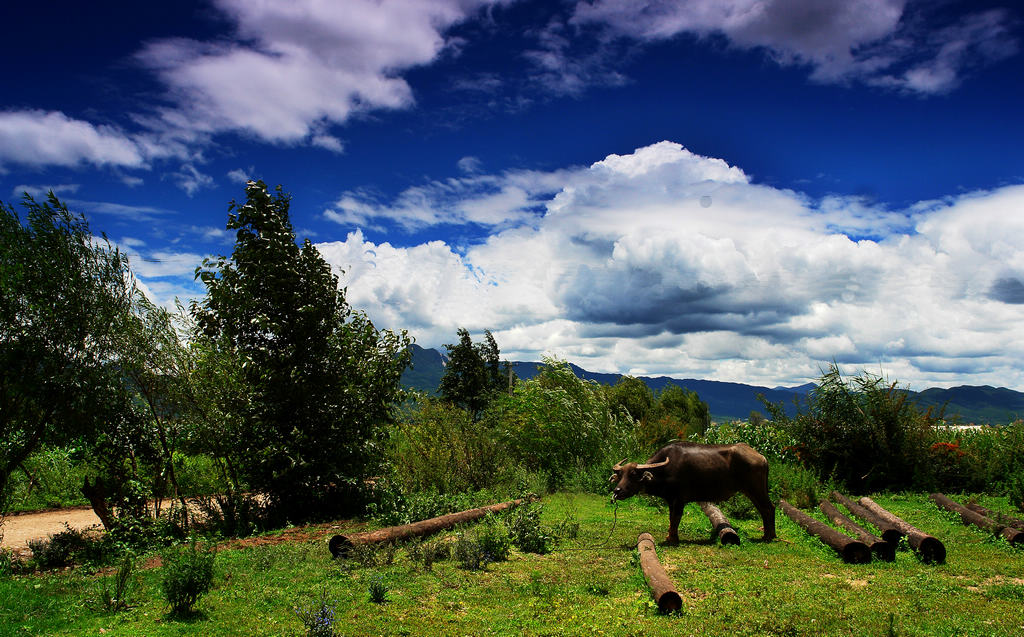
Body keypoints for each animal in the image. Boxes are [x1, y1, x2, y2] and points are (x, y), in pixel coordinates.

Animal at [606, 444, 774, 544]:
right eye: (620, 475)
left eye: (633, 474)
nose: (617, 491)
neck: (664, 471)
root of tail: (762, 458)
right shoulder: (671, 500)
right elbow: (671, 518)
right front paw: (670, 536)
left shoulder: (680, 499)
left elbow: (676, 519)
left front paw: (673, 539)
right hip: (752, 491)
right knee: (763, 510)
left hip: (756, 489)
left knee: (769, 508)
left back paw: (769, 536)